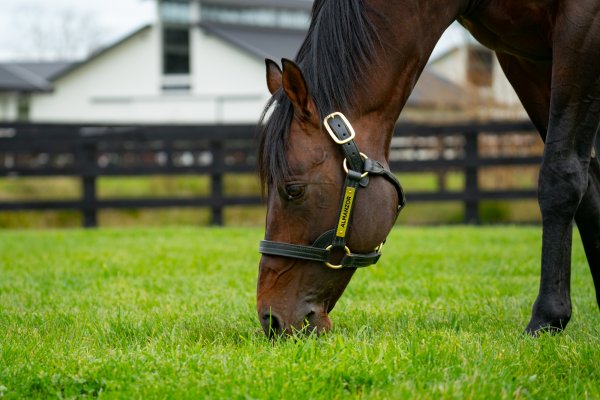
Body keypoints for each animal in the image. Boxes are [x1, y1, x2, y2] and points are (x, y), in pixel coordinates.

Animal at [256, 0, 600, 336]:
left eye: (294, 190)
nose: (270, 320)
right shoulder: (522, 58)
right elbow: (590, 186)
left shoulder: (581, 30)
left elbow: (562, 177)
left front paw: (547, 318)